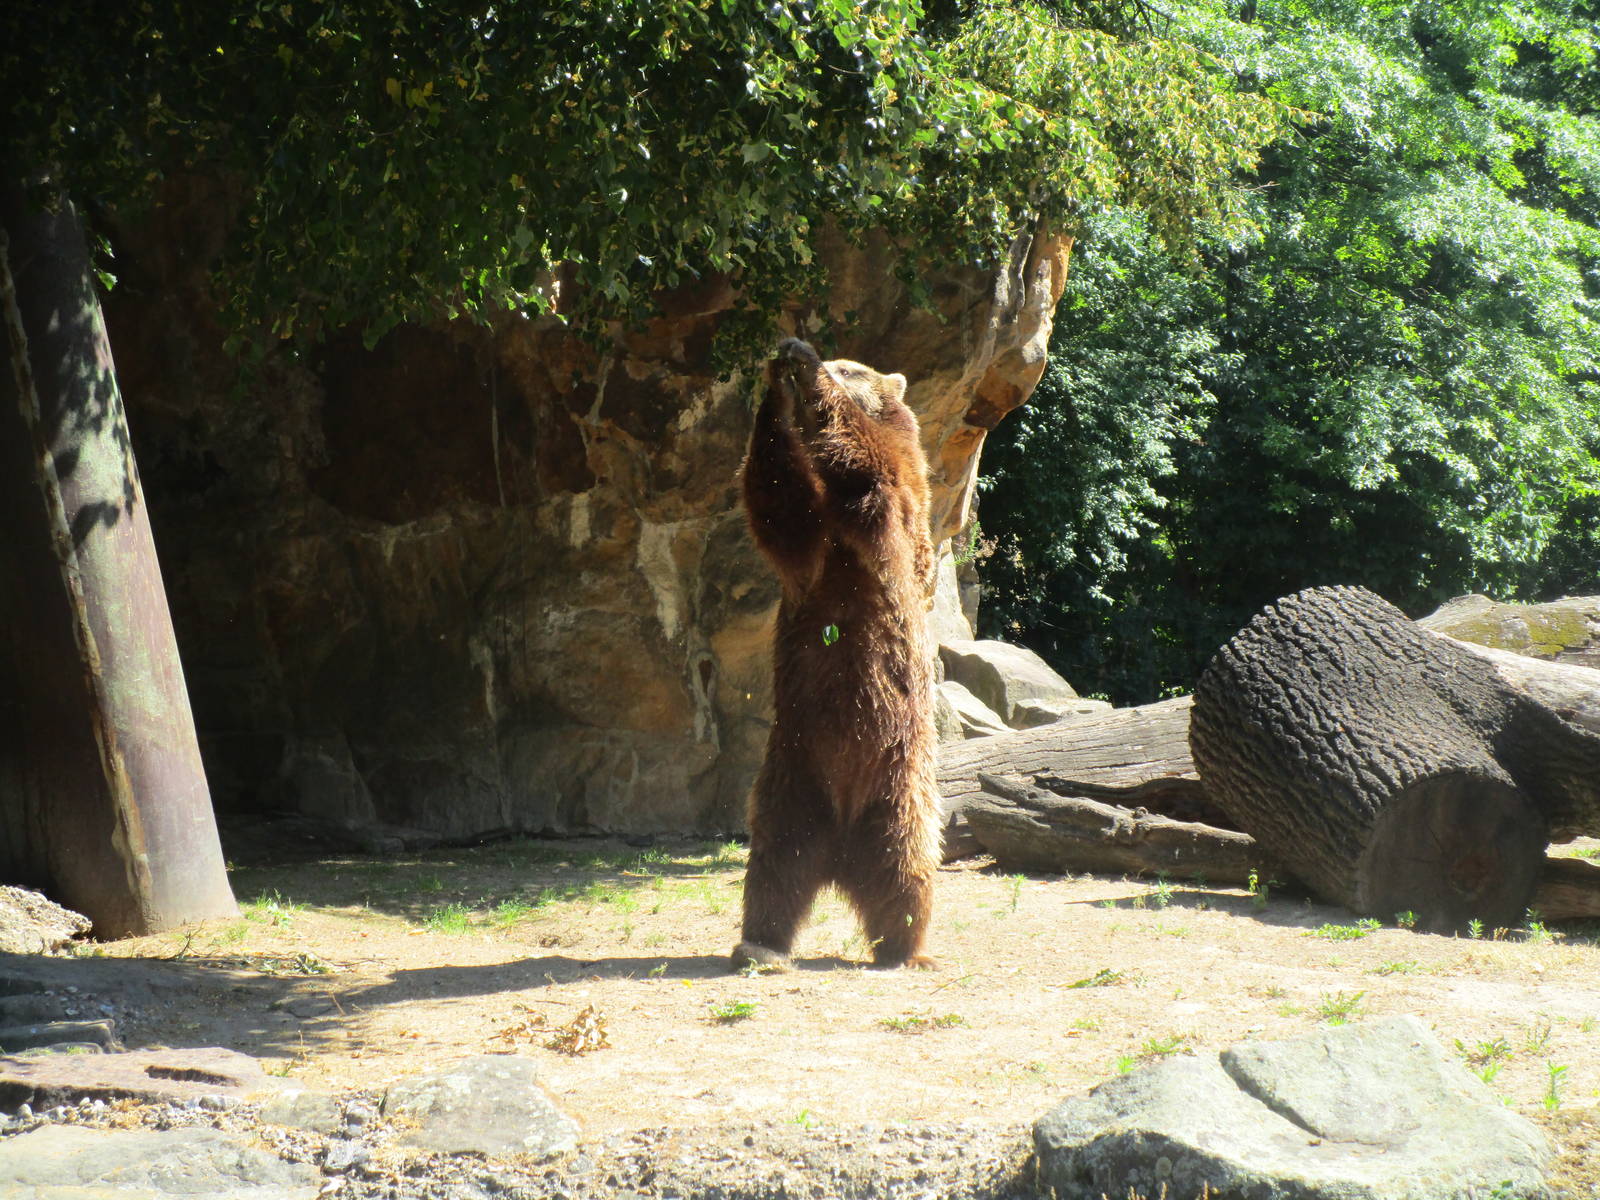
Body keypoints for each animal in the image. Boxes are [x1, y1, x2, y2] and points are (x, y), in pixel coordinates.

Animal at [732, 337, 941, 971]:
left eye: (851, 367)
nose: (806, 357)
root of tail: (841, 854)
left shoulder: (893, 507)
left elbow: (872, 468)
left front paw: (806, 377)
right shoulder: (812, 550)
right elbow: (777, 502)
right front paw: (774, 392)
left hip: (900, 782)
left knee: (909, 867)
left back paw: (906, 949)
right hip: (791, 780)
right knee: (773, 869)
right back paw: (760, 944)